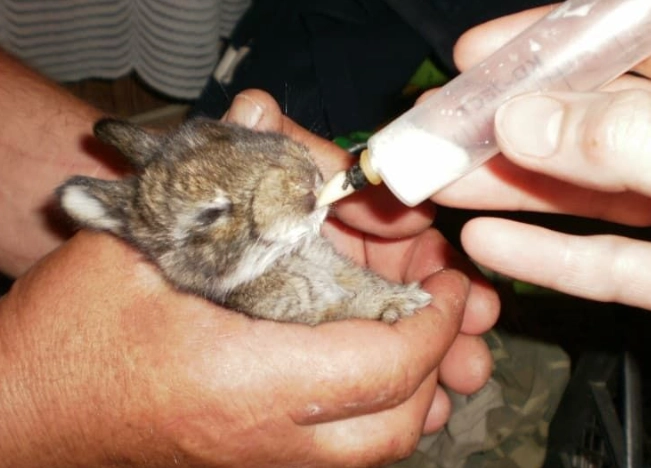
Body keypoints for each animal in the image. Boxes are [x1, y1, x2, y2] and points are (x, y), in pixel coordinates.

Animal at [57, 118, 431, 325]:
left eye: (234, 131)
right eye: (209, 215)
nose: (306, 178)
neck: (280, 259)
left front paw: (402, 294)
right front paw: (401, 303)